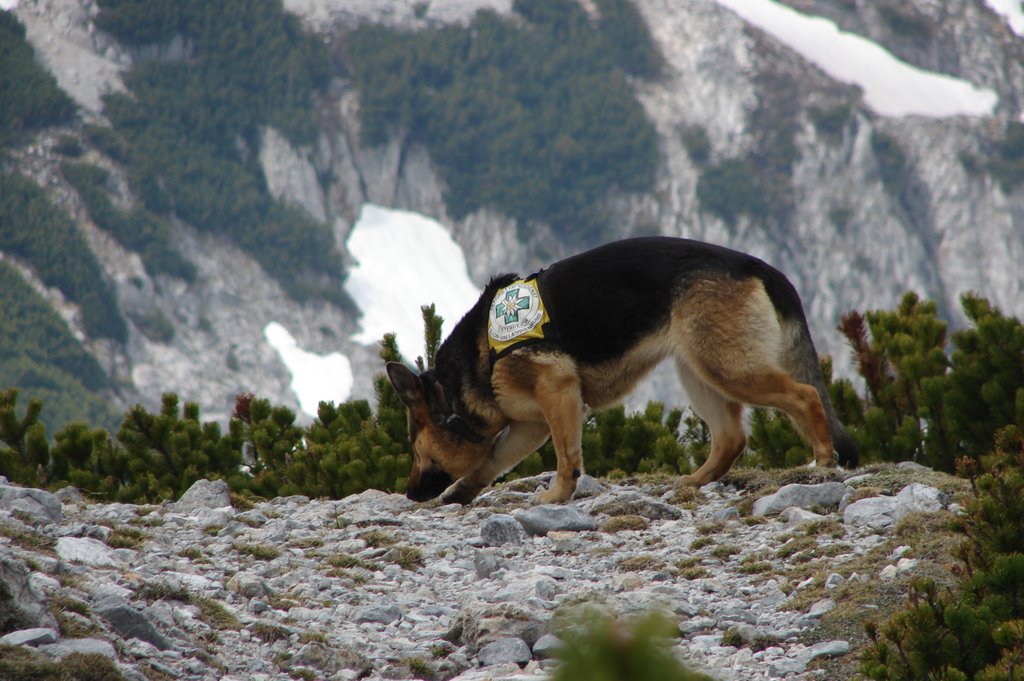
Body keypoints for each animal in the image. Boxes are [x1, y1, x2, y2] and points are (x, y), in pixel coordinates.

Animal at [387, 236, 860, 501]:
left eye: (413, 444)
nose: (409, 493)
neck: (475, 365)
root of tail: (757, 265)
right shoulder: (529, 424)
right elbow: (491, 462)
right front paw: (461, 493)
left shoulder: (558, 394)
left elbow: (567, 456)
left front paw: (557, 496)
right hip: (698, 373)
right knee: (731, 438)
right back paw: (694, 481)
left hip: (728, 369)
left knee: (806, 396)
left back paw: (823, 461)